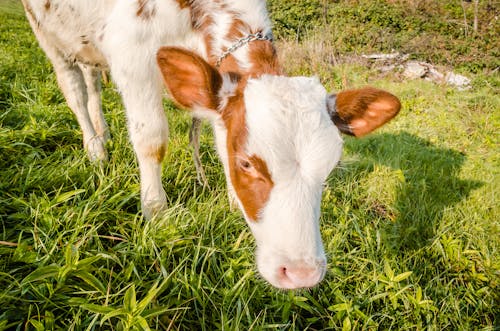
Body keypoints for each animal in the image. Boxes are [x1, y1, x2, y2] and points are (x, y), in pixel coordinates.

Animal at [21, 0, 400, 290]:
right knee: (74, 90)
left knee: (92, 84)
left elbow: (219, 138)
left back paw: (103, 133)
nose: (301, 273)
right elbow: (151, 139)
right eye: (246, 162)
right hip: (48, 35)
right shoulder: (132, 56)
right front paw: (156, 212)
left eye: (330, 169)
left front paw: (233, 202)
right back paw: (95, 149)